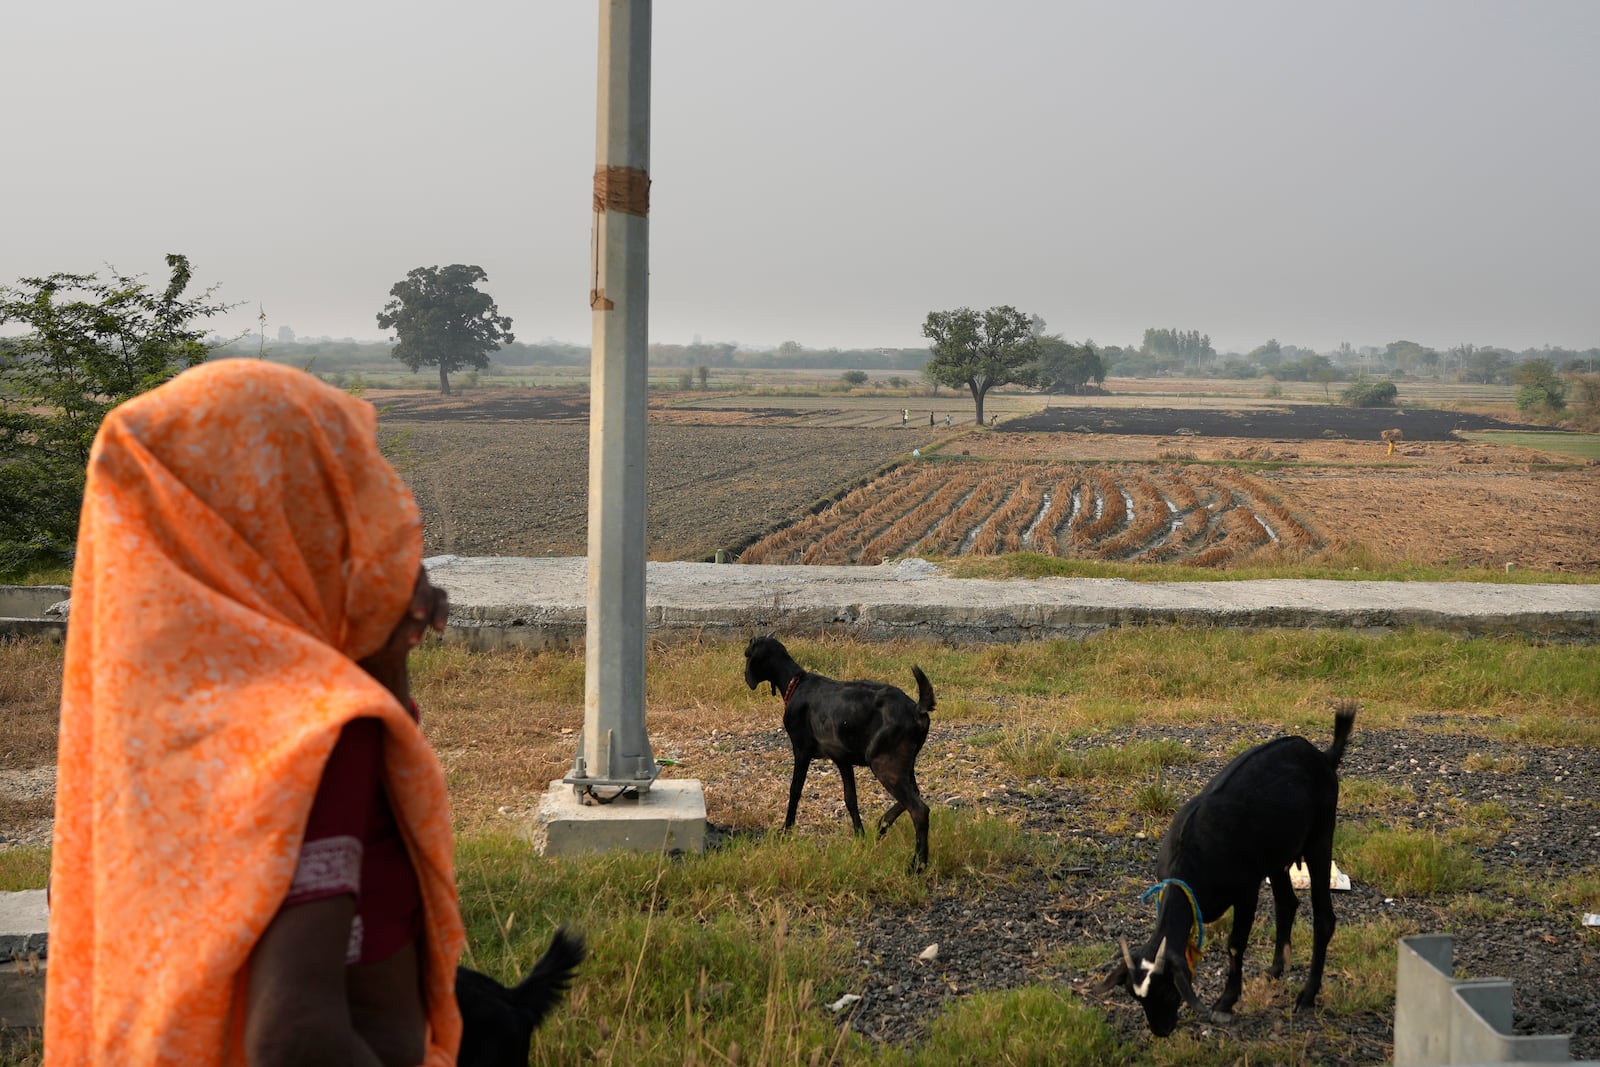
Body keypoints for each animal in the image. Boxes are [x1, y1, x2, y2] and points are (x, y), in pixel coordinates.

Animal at [739, 633, 934, 870]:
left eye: (747, 654)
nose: (745, 676)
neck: (795, 683)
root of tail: (916, 709)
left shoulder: (801, 751)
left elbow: (795, 791)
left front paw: (786, 831)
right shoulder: (842, 759)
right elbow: (850, 799)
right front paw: (860, 836)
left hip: (883, 762)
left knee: (919, 810)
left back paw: (917, 865)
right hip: (904, 763)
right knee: (915, 795)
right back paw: (883, 824)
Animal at [1107, 700, 1356, 1036]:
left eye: (1169, 991)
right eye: (1136, 997)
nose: (1161, 1030)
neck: (1192, 856)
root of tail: (1321, 755)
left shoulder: (1246, 891)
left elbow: (1236, 945)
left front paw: (1225, 1002)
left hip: (1321, 835)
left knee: (1324, 919)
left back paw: (1307, 996)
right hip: (1275, 856)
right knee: (1287, 904)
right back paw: (1275, 970)